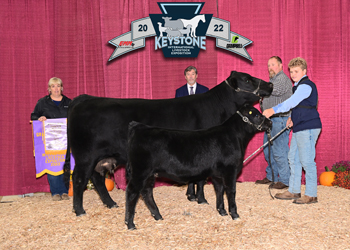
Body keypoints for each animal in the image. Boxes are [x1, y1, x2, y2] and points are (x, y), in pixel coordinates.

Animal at [63, 71, 272, 216]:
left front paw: (191, 195)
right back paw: (80, 210)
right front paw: (201, 199)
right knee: (80, 179)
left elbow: (196, 177)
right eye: (247, 80)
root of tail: (84, 98)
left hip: (100, 158)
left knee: (97, 179)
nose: (269, 84)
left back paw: (110, 203)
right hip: (85, 156)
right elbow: (201, 179)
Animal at [124, 105, 272, 230]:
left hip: (149, 174)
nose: (270, 122)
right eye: (257, 115)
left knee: (147, 192)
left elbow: (219, 190)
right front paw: (234, 214)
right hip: (140, 171)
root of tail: (139, 127)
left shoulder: (217, 174)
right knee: (132, 192)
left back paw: (158, 216)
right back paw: (130, 223)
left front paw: (222, 211)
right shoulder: (230, 170)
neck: (235, 137)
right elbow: (231, 191)